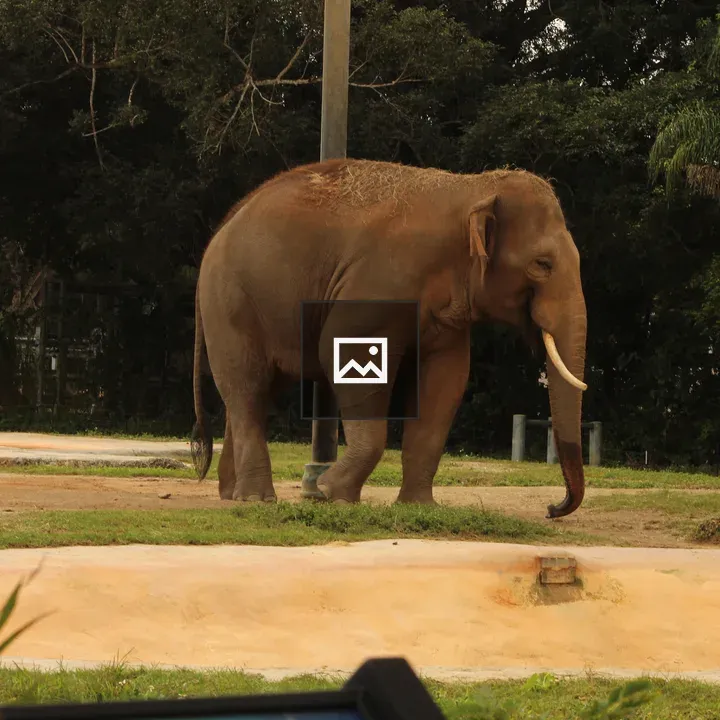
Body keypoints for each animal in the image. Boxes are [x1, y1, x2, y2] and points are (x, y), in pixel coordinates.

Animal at [191, 158, 588, 519]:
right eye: (542, 265)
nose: (552, 508)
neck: (470, 188)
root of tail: (222, 225)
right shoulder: (378, 283)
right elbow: (343, 351)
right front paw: (330, 493)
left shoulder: (447, 319)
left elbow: (446, 381)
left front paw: (419, 507)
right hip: (231, 303)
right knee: (248, 386)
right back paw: (257, 499)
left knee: (255, 393)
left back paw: (233, 494)